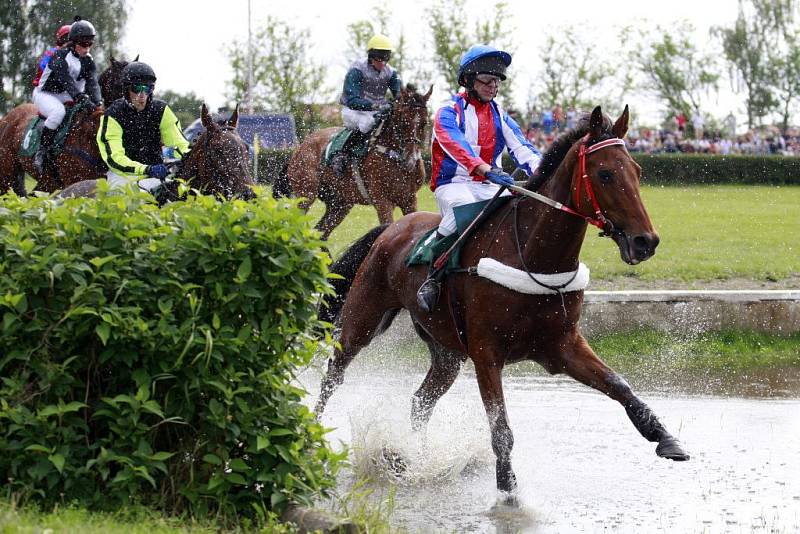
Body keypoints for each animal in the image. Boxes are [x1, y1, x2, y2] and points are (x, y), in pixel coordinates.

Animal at [280, 84, 432, 241]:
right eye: (403, 122)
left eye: (424, 123)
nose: (410, 159)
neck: (392, 154)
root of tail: (299, 148)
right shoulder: (382, 201)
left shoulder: (410, 200)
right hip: (305, 195)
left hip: (340, 204)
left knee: (320, 232)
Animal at [316, 105, 692, 498]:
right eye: (605, 173)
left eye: (637, 171)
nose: (645, 241)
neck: (533, 255)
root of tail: (389, 230)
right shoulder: (487, 353)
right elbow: (501, 427)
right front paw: (506, 483)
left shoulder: (562, 345)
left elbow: (619, 384)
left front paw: (665, 438)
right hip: (362, 320)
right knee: (333, 376)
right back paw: (315, 436)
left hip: (447, 351)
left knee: (420, 401)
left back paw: (410, 457)